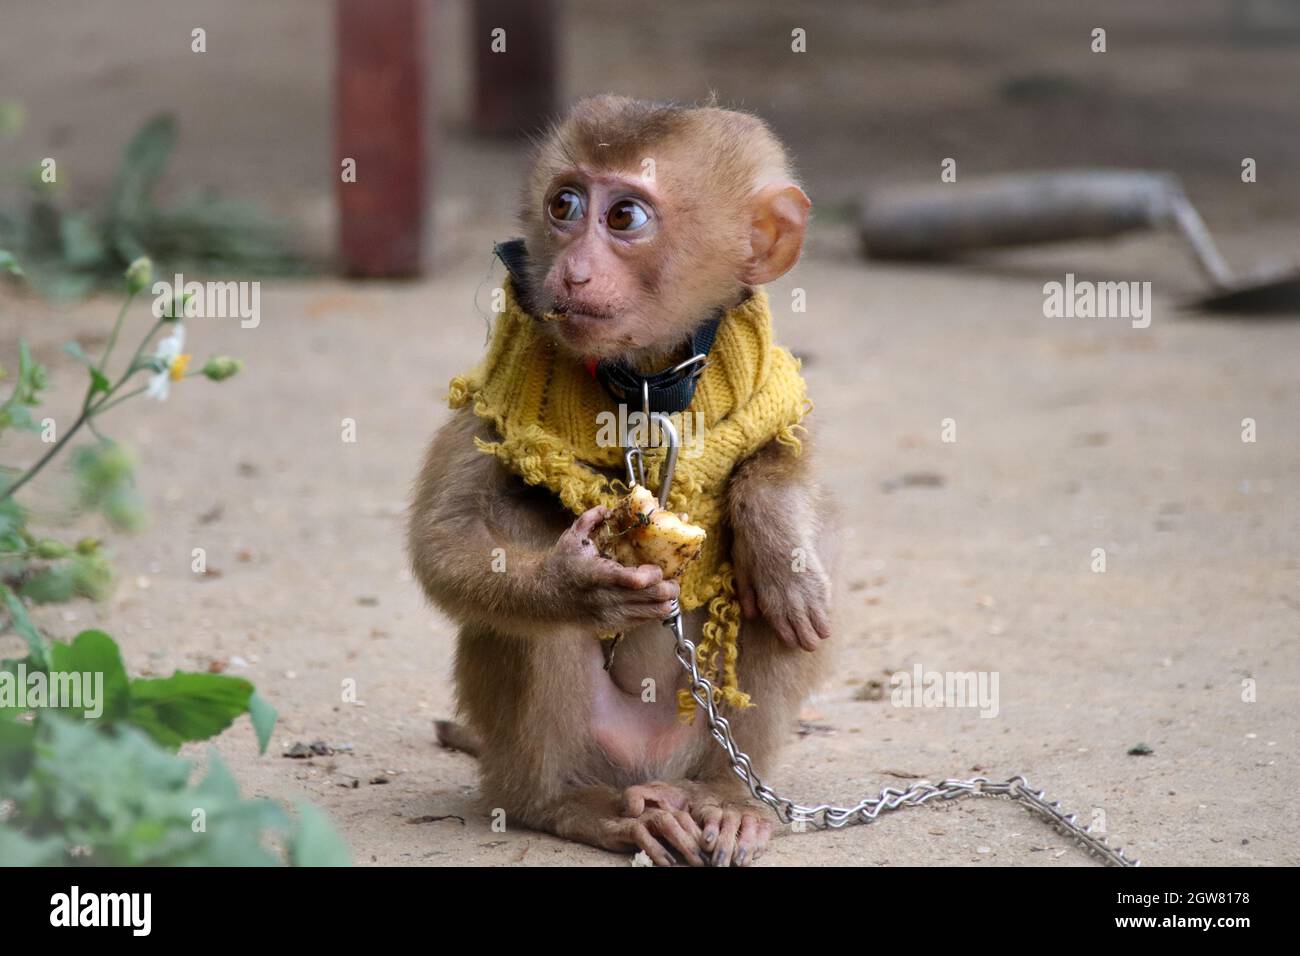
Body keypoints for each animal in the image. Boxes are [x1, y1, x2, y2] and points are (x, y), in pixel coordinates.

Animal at [408, 97, 832, 868]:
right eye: (565, 205)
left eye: (625, 217)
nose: (572, 273)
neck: (644, 383)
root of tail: (648, 771)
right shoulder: (501, 397)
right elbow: (444, 542)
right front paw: (578, 586)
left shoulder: (763, 382)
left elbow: (783, 452)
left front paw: (778, 549)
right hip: (580, 748)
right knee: (522, 535)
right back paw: (564, 806)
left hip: (691, 741)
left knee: (773, 604)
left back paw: (731, 799)